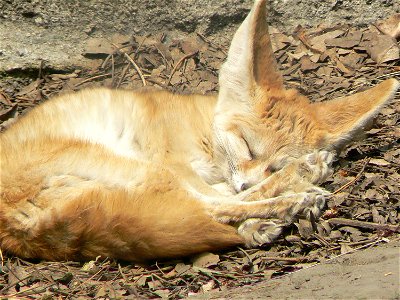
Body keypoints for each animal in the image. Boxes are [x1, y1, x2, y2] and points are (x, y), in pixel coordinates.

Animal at [0, 0, 400, 262]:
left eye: (270, 160)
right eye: (247, 146)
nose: (247, 179)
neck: (204, 133)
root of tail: (23, 233)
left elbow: (229, 193)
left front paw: (284, 184)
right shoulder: (175, 162)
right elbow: (226, 195)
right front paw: (293, 182)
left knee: (207, 208)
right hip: (142, 168)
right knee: (213, 206)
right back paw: (291, 198)